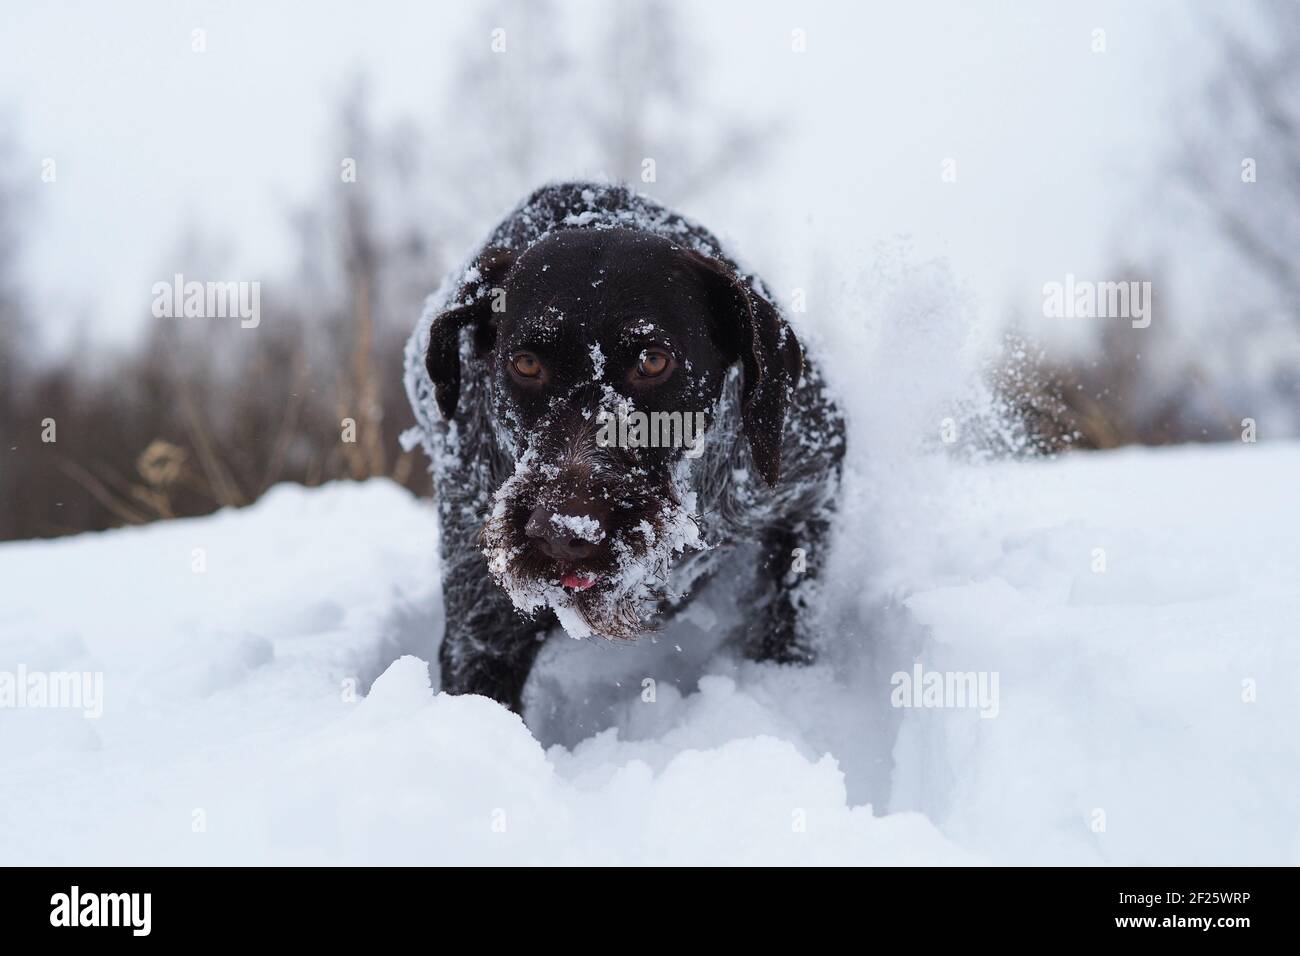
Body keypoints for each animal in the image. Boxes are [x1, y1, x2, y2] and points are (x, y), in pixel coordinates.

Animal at [405, 183, 852, 712]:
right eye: (526, 364)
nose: (562, 532)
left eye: (653, 361)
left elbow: (790, 611)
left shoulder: (812, 485)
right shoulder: (482, 632)